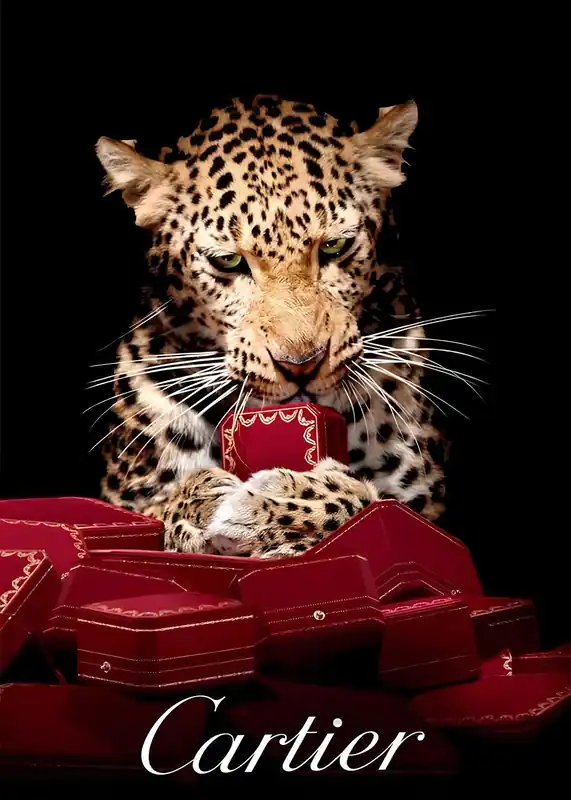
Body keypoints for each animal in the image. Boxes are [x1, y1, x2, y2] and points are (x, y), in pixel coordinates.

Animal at [93, 94, 448, 559]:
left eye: (335, 246)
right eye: (228, 262)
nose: (301, 365)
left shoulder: (424, 502)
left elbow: (382, 513)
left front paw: (275, 504)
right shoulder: (128, 496)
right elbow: (152, 516)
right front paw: (198, 502)